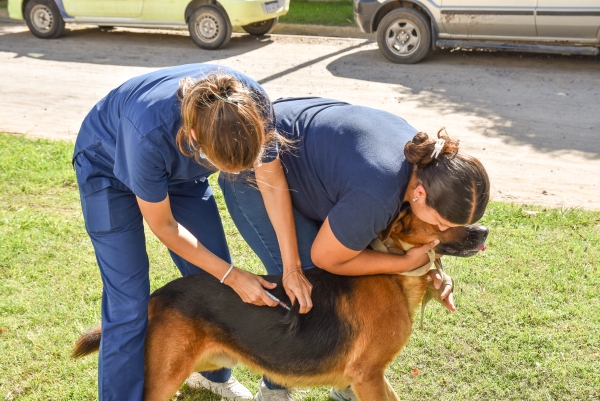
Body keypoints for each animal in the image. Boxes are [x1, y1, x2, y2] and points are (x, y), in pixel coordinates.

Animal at [74, 206, 488, 400]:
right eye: (444, 216)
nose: (484, 230)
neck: (393, 270)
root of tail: (157, 296)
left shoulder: (372, 377)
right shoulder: (368, 375)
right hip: (164, 375)